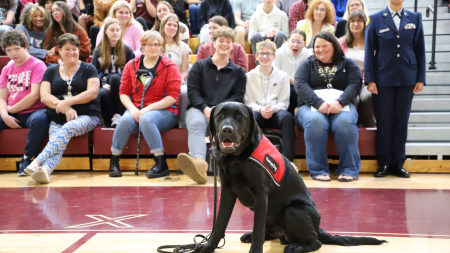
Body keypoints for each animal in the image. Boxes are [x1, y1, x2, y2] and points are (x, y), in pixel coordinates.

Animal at [198, 103, 386, 253]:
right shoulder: (227, 192)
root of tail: (318, 227)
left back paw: (296, 247)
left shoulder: (260, 194)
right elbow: (219, 224)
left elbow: (257, 229)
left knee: (314, 241)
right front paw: (207, 247)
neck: (237, 159)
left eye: (239, 117)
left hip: (292, 210)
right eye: (220, 115)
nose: (227, 130)